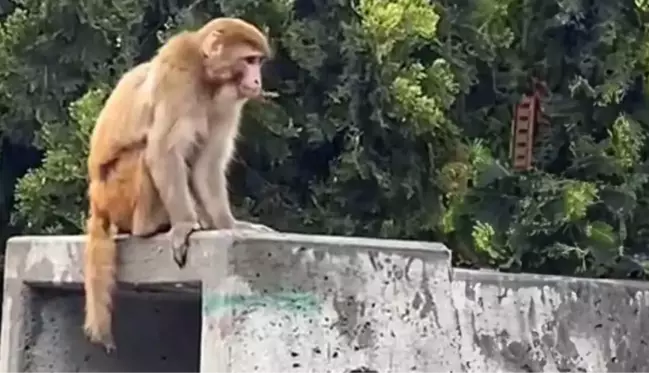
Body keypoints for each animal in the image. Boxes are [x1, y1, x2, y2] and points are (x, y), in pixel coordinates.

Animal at [83, 16, 274, 348]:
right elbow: (164, 151)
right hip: (117, 191)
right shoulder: (177, 77)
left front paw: (229, 225)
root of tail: (97, 199)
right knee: (146, 152)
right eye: (250, 61)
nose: (257, 81)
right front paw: (184, 225)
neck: (207, 76)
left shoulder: (228, 103)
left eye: (259, 62)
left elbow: (205, 166)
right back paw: (150, 226)